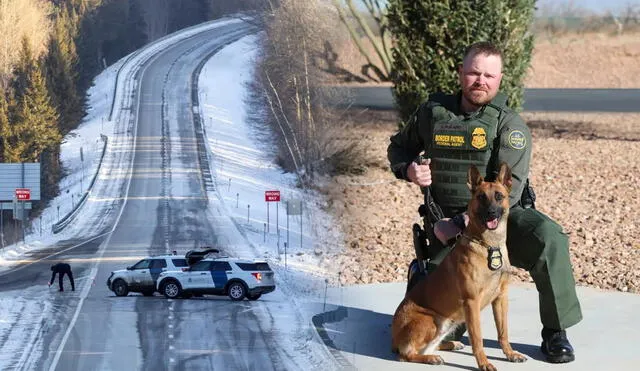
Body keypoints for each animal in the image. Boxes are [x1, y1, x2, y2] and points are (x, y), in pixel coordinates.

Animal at [392, 164, 528, 370]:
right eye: (481, 197)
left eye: (499, 196)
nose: (491, 213)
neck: (489, 245)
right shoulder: (472, 302)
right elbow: (477, 338)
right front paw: (484, 363)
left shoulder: (501, 298)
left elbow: (503, 332)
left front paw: (510, 354)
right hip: (432, 321)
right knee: (407, 354)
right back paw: (430, 358)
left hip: (447, 322)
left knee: (429, 346)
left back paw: (447, 346)